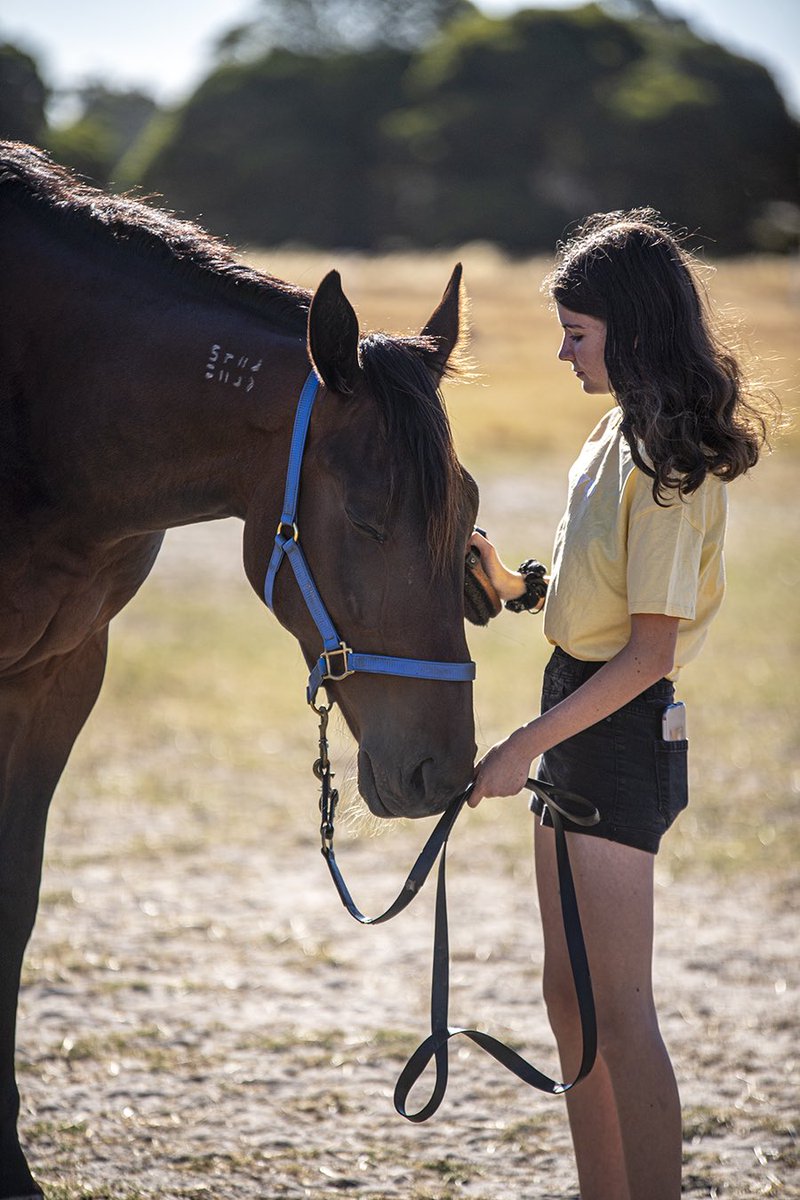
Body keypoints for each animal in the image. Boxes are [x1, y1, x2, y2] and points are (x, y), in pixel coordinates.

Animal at [0, 141, 480, 1198]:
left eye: (467, 510)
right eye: (370, 518)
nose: (441, 774)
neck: (45, 405)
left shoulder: (57, 674)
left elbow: (14, 900)